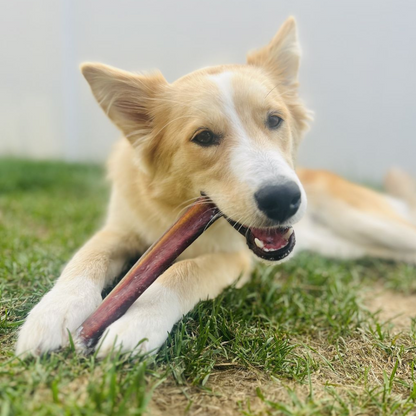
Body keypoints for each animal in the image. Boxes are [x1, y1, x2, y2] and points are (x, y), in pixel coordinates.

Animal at [15, 17, 416, 358]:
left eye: (275, 120)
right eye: (204, 137)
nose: (284, 199)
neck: (170, 208)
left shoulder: (234, 259)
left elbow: (182, 272)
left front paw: (136, 323)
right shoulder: (119, 229)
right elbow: (85, 258)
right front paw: (53, 312)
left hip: (370, 222)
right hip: (352, 246)